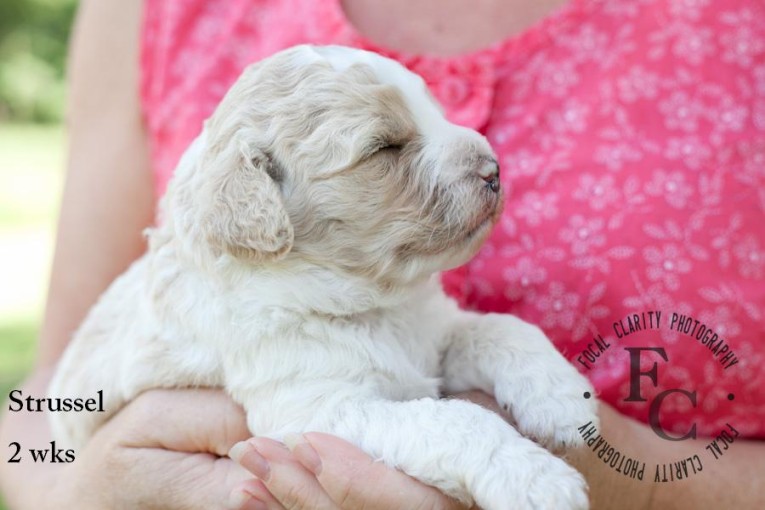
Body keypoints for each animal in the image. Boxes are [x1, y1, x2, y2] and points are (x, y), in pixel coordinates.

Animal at [50, 44, 600, 510]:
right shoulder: (320, 409)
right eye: (384, 147)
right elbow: (455, 421)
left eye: (435, 112)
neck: (374, 303)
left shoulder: (435, 336)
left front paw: (566, 401)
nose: (494, 170)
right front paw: (537, 480)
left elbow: (501, 329)